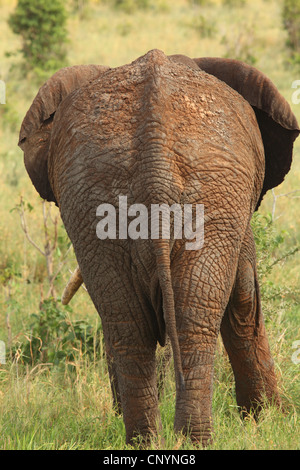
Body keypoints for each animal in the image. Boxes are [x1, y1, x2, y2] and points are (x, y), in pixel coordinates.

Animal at [19, 49, 300, 446]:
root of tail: (156, 161)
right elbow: (245, 295)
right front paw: (268, 419)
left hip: (95, 202)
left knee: (129, 324)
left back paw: (147, 442)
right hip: (209, 200)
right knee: (191, 320)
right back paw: (192, 441)